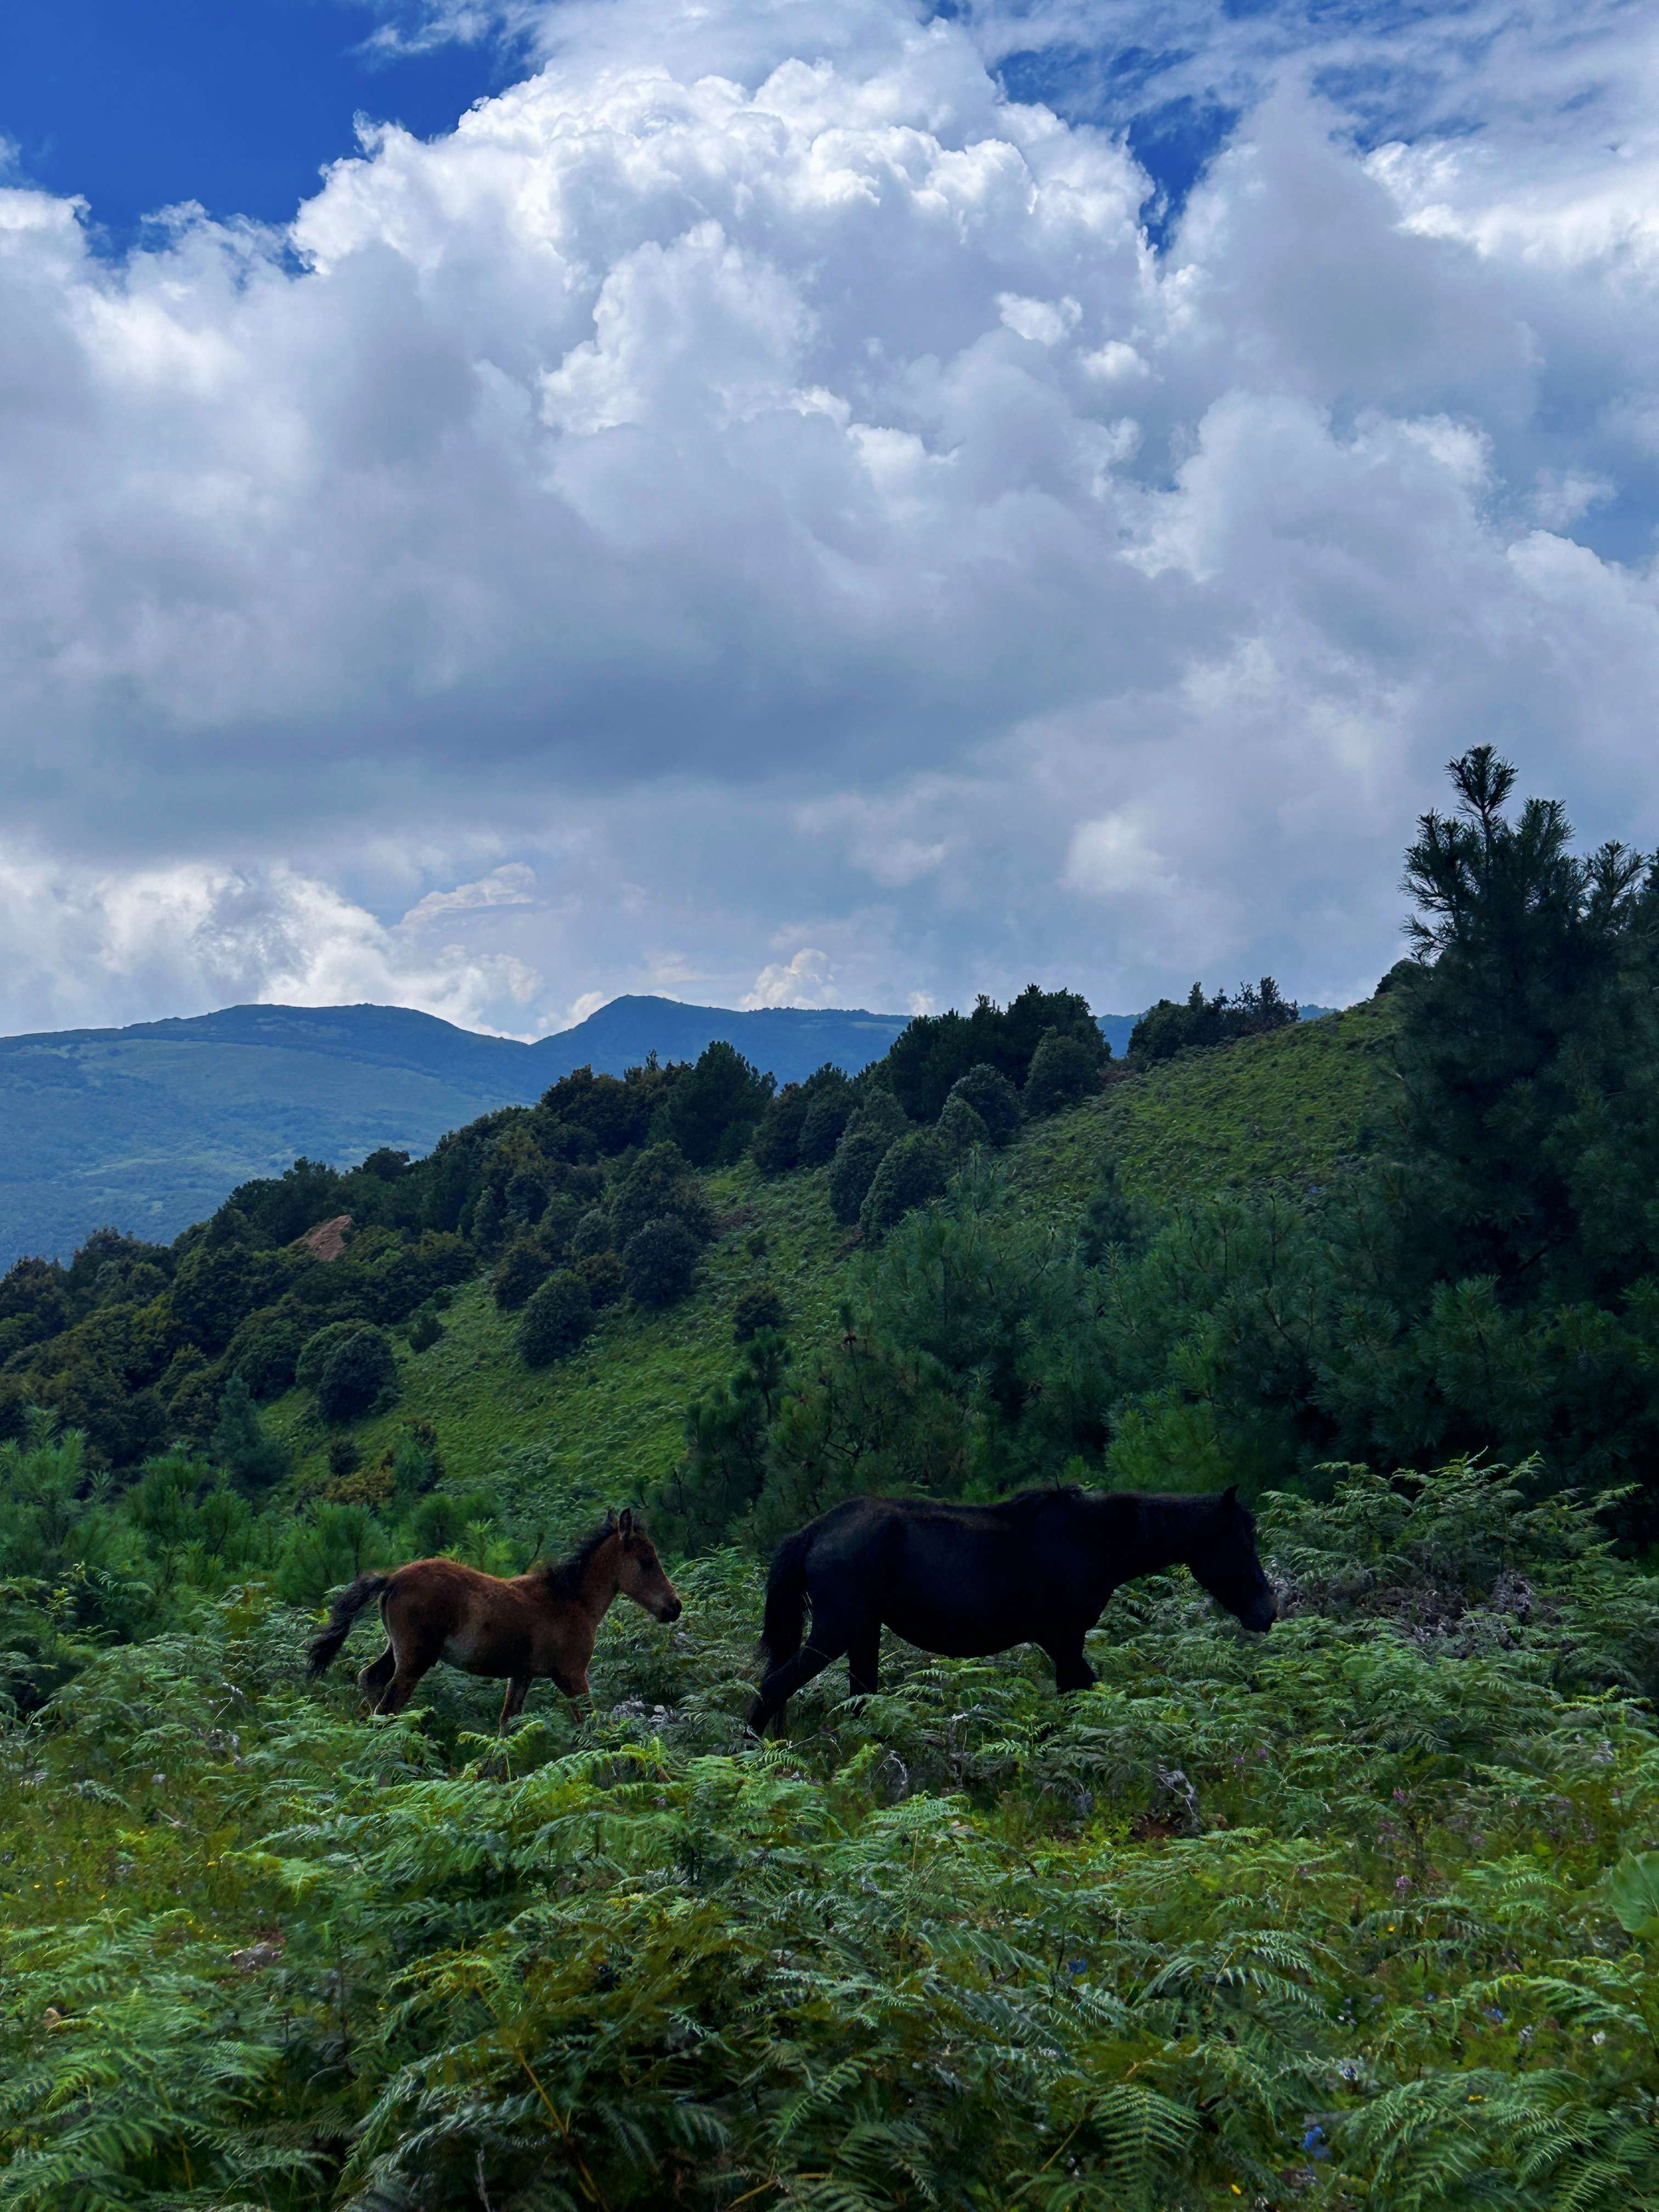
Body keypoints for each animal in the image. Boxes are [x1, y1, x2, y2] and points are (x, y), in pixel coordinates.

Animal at [305, 1513, 681, 1734]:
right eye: (647, 1561)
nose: (674, 1607)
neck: (571, 1599)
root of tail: (393, 1579)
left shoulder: (522, 1675)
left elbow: (506, 1726)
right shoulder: (572, 1676)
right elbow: (589, 1721)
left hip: (397, 1650)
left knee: (370, 1679)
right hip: (416, 1658)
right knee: (390, 1705)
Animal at [752, 1477, 1283, 1734]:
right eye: (1242, 1542)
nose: (1268, 1611)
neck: (1091, 1539)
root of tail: (816, 1530)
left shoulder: (1066, 1644)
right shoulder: (1065, 1640)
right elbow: (1081, 1693)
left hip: (864, 1634)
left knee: (861, 1700)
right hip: (836, 1631)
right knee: (772, 1688)